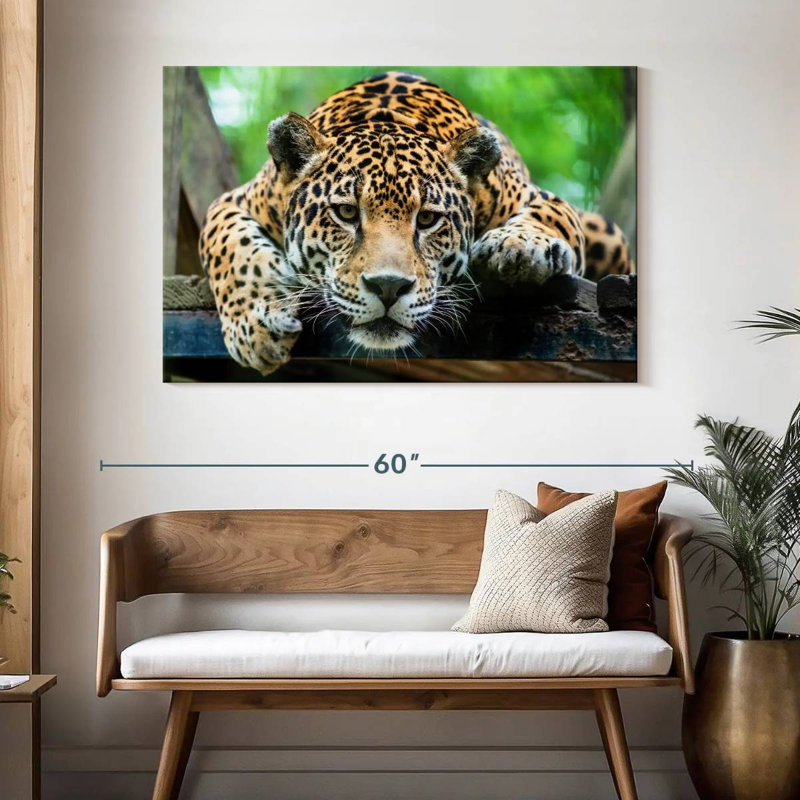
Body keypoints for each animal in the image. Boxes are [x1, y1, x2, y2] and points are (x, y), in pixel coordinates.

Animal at [198, 71, 634, 375]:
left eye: (427, 219)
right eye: (346, 213)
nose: (389, 287)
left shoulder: (538, 197)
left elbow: (549, 216)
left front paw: (518, 246)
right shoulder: (234, 201)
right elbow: (230, 248)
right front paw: (255, 327)